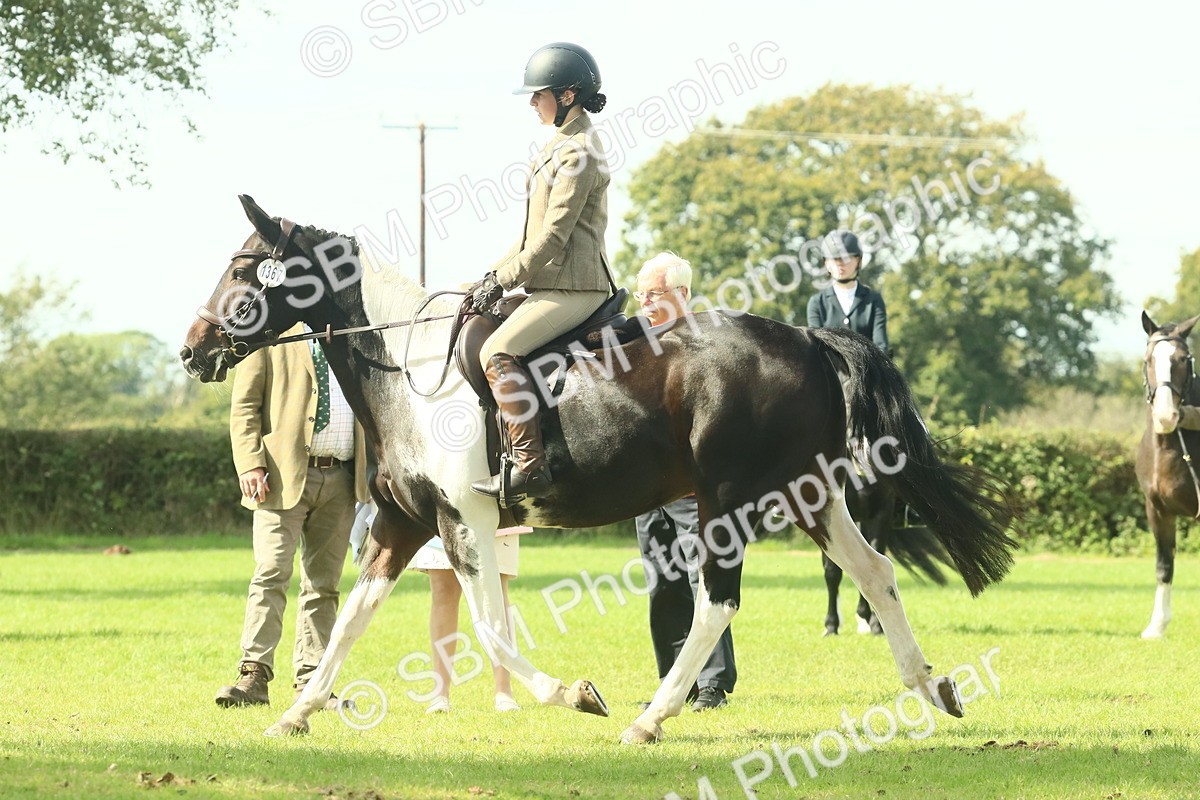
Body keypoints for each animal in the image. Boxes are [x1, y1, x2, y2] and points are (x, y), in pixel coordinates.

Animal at [180, 195, 1017, 744]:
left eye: (248, 270)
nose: (192, 352)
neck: (407, 369)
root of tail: (809, 338)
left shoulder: (464, 521)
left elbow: (492, 629)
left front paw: (574, 693)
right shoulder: (399, 521)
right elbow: (352, 620)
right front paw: (296, 713)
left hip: (728, 500)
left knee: (718, 602)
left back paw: (650, 718)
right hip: (807, 493)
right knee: (874, 571)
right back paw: (932, 688)